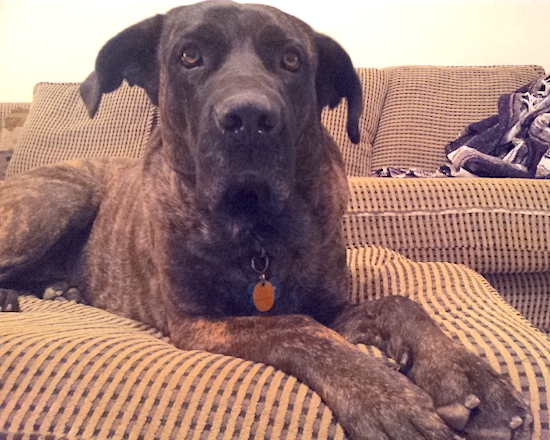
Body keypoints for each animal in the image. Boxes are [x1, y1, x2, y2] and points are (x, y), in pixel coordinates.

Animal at [0, 1, 536, 438]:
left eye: (292, 60)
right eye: (189, 56)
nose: (249, 119)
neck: (258, 229)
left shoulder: (333, 305)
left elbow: (398, 304)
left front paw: (465, 376)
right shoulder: (199, 324)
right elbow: (297, 328)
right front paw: (386, 397)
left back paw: (58, 289)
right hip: (61, 200)